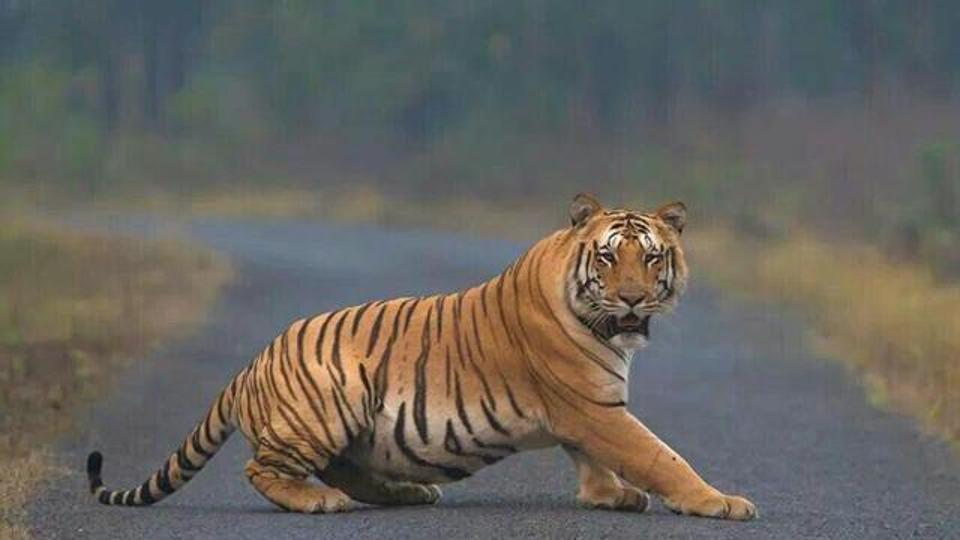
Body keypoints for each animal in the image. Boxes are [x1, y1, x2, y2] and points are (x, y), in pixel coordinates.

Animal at [86, 193, 757, 520]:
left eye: (651, 257)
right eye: (609, 257)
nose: (633, 298)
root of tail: (250, 365)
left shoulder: (587, 413)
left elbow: (601, 460)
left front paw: (608, 495)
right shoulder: (593, 407)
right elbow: (660, 456)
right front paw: (719, 502)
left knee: (342, 468)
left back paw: (405, 493)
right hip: (329, 400)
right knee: (265, 470)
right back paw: (319, 503)